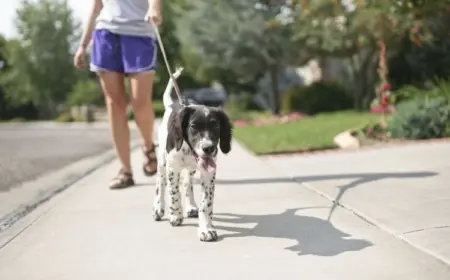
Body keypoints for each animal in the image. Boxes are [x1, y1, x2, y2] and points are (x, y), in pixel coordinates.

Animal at [153, 67, 234, 241]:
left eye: (216, 126)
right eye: (193, 126)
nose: (208, 148)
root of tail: (172, 104)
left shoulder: (208, 173)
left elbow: (206, 203)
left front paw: (206, 228)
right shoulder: (173, 168)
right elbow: (173, 192)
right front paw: (175, 215)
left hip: (191, 169)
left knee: (187, 183)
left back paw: (190, 207)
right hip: (162, 162)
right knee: (160, 183)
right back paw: (158, 208)